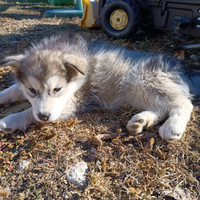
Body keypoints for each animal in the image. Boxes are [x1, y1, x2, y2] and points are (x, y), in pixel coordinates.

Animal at [0, 33, 198, 142]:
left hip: (144, 81)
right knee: (162, 107)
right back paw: (141, 121)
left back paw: (172, 126)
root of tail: (180, 68)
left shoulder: (72, 103)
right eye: (32, 90)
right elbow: (12, 91)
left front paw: (10, 119)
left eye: (57, 89)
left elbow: (28, 113)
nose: (44, 116)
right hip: (138, 92)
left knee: (183, 103)